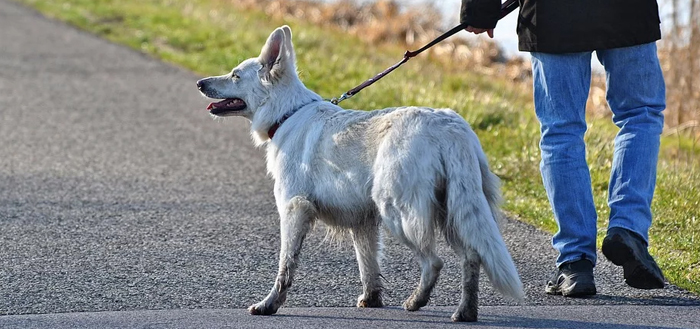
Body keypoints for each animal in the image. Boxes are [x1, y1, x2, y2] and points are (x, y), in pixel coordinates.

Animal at [194, 25, 524, 320]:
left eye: (235, 75)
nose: (199, 83)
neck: (287, 114)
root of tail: (449, 126)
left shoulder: (294, 210)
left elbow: (285, 266)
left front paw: (269, 305)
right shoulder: (362, 222)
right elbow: (368, 266)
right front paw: (372, 300)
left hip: (399, 213)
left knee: (434, 262)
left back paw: (416, 302)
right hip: (453, 212)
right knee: (472, 257)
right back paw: (465, 312)